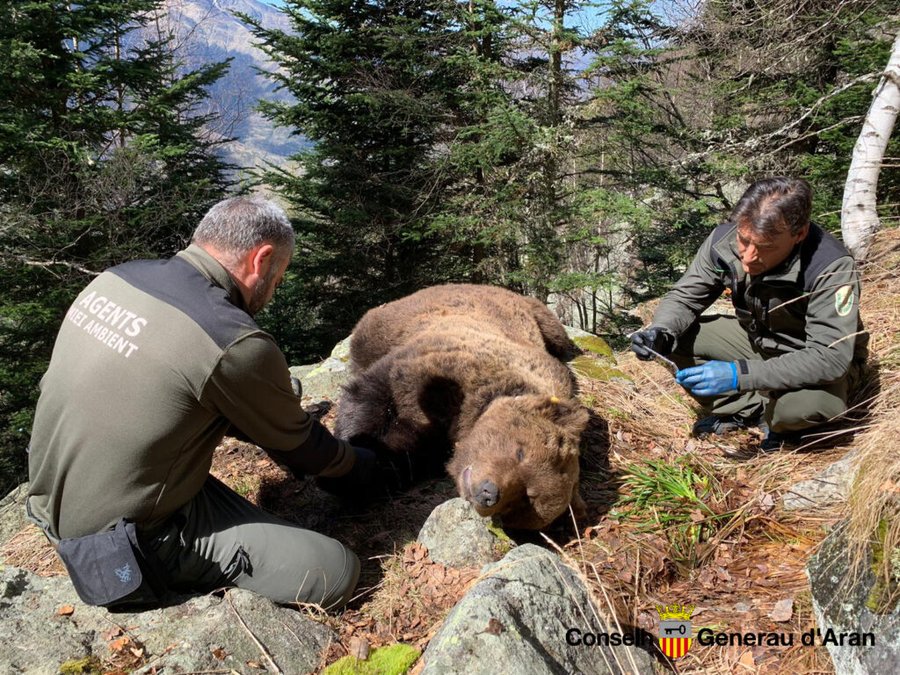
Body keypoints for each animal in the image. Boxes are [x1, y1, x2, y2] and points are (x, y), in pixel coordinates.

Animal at [334, 282, 588, 532]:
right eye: (520, 452)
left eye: (527, 498)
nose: (488, 493)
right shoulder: (441, 366)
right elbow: (374, 396)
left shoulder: (435, 443)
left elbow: (405, 455)